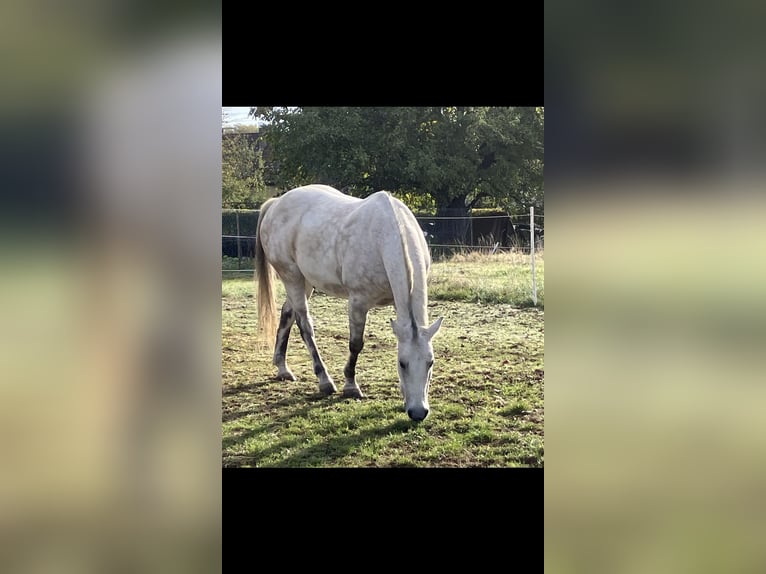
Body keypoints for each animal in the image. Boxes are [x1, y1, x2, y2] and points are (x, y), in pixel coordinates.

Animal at [254, 184, 443, 421]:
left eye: (430, 362)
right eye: (402, 363)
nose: (418, 412)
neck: (384, 235)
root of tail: (275, 204)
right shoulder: (358, 303)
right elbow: (355, 344)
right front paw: (351, 386)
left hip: (305, 282)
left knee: (287, 314)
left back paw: (282, 368)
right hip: (292, 278)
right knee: (305, 325)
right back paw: (324, 381)